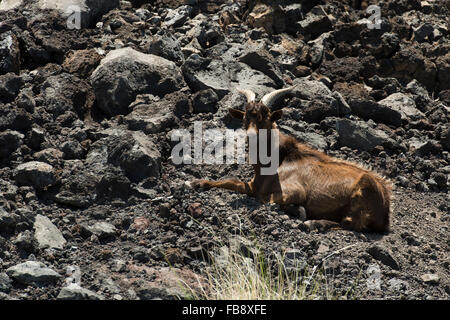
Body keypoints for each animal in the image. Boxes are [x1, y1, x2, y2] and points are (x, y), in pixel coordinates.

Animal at [186, 87, 390, 232]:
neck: (276, 161)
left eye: (266, 118)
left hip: (362, 193)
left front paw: (299, 211)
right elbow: (231, 181)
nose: (251, 136)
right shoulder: (253, 184)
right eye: (244, 118)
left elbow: (266, 198)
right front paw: (196, 182)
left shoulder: (295, 191)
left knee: (350, 223)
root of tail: (386, 209)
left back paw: (314, 224)